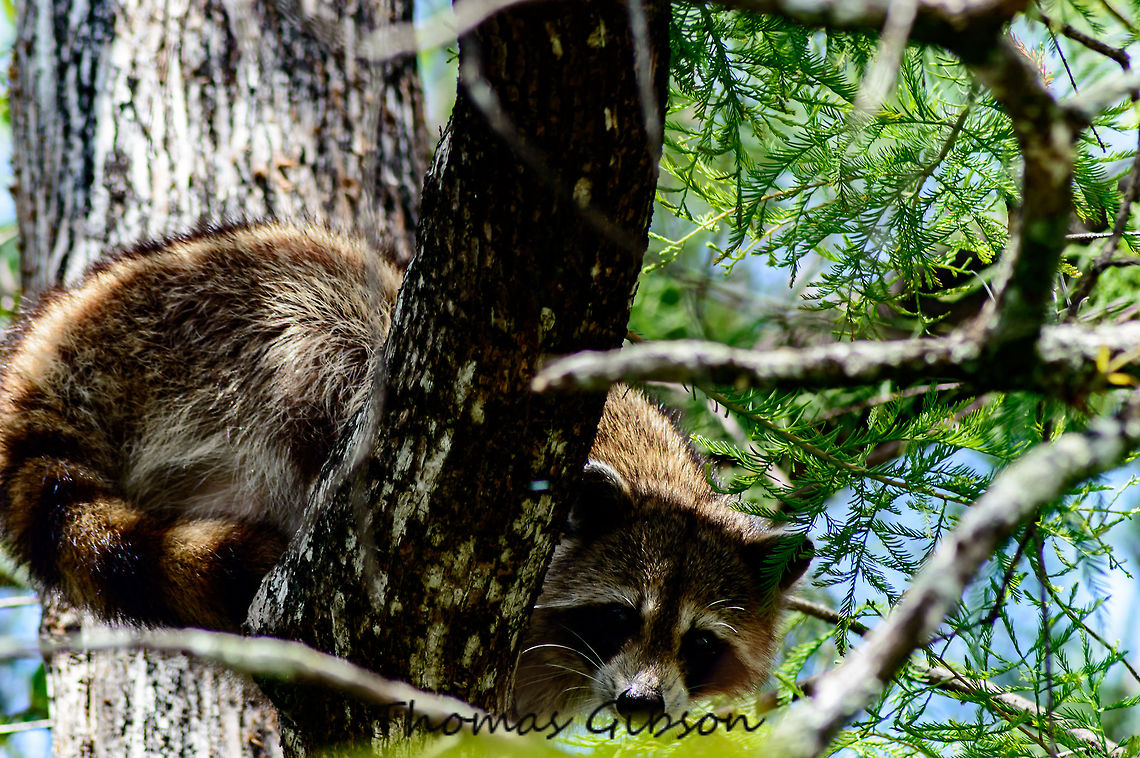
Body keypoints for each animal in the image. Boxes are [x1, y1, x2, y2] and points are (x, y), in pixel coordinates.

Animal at [0, 221, 811, 717]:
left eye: (698, 643)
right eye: (617, 617)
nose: (642, 704)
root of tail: (46, 348)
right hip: (195, 326)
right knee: (340, 307)